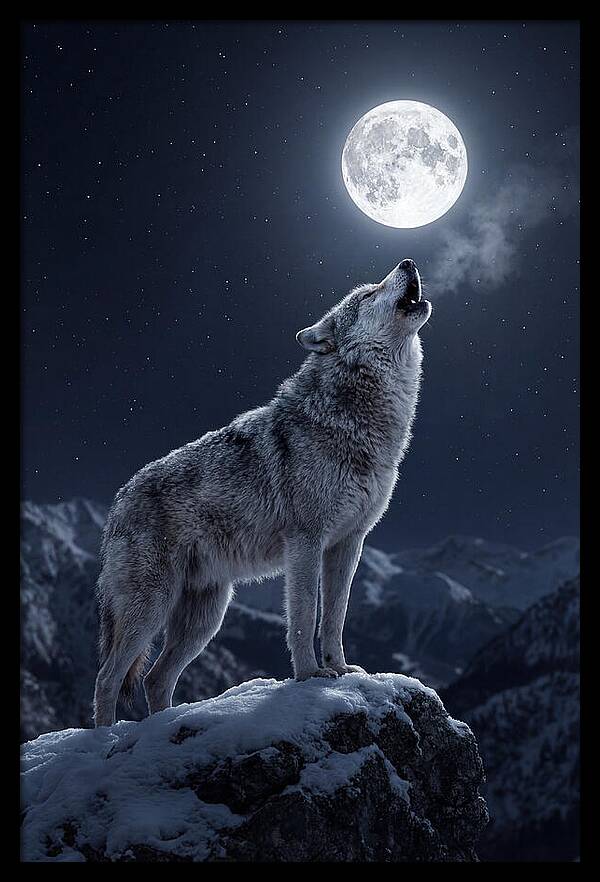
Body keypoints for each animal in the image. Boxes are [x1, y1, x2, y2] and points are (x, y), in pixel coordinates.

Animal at [93, 258, 431, 726]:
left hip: (206, 618)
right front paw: (310, 676)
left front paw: (342, 669)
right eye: (367, 294)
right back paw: (104, 738)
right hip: (150, 609)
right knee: (107, 678)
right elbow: (305, 616)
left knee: (154, 679)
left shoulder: (348, 543)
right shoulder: (306, 542)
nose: (408, 262)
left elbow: (335, 617)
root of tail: (117, 502)